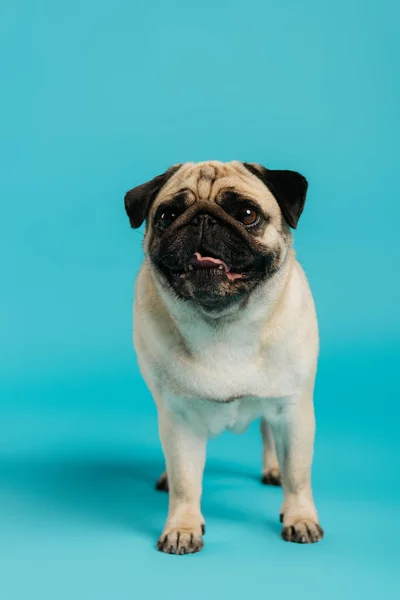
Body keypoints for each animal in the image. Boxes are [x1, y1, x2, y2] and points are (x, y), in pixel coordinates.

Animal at [125, 159, 324, 552]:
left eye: (247, 214)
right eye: (167, 216)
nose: (203, 219)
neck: (224, 323)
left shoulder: (294, 410)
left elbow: (298, 473)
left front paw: (301, 518)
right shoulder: (179, 418)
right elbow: (186, 481)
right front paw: (182, 527)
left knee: (267, 433)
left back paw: (273, 469)